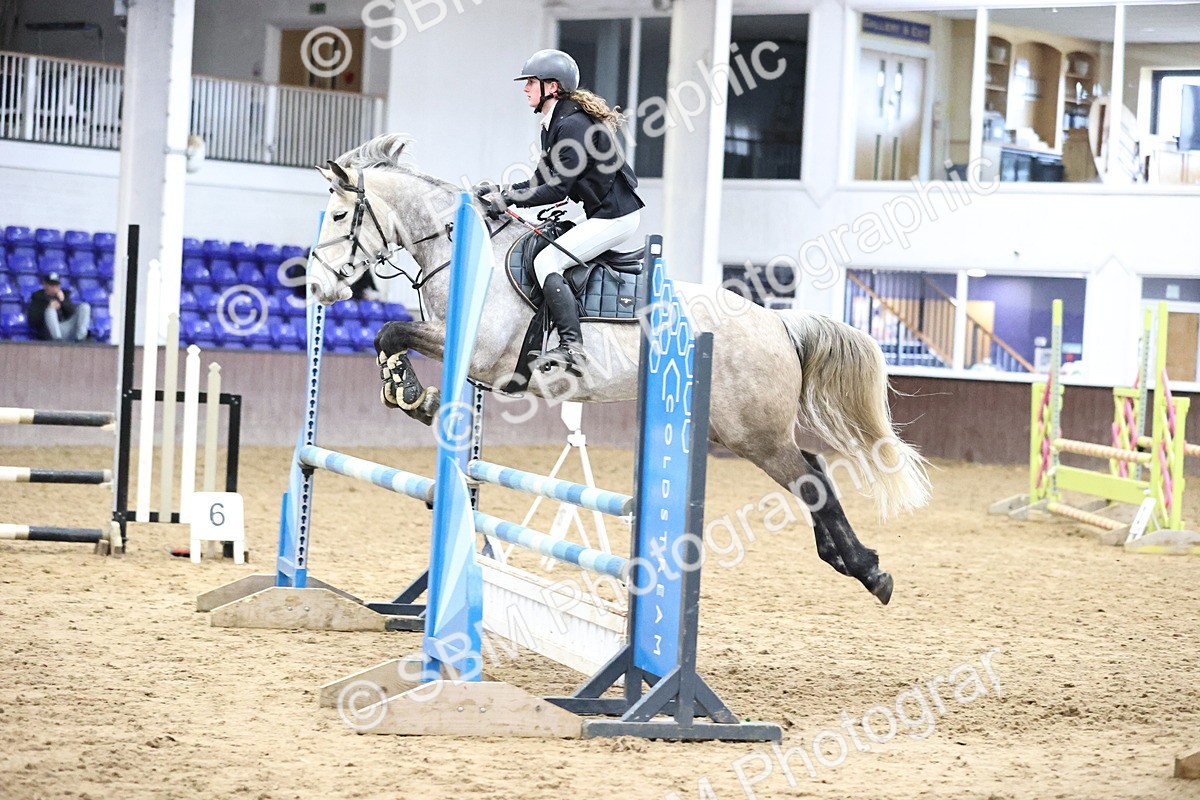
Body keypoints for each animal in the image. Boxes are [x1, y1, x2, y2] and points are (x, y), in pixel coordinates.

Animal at [306, 134, 930, 605]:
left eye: (338, 214)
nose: (314, 286)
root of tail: (777, 322)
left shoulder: (478, 352)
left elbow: (390, 333)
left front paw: (412, 394)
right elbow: (390, 342)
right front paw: (411, 396)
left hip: (752, 433)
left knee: (811, 476)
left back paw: (869, 570)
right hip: (737, 430)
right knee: (812, 471)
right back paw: (848, 560)